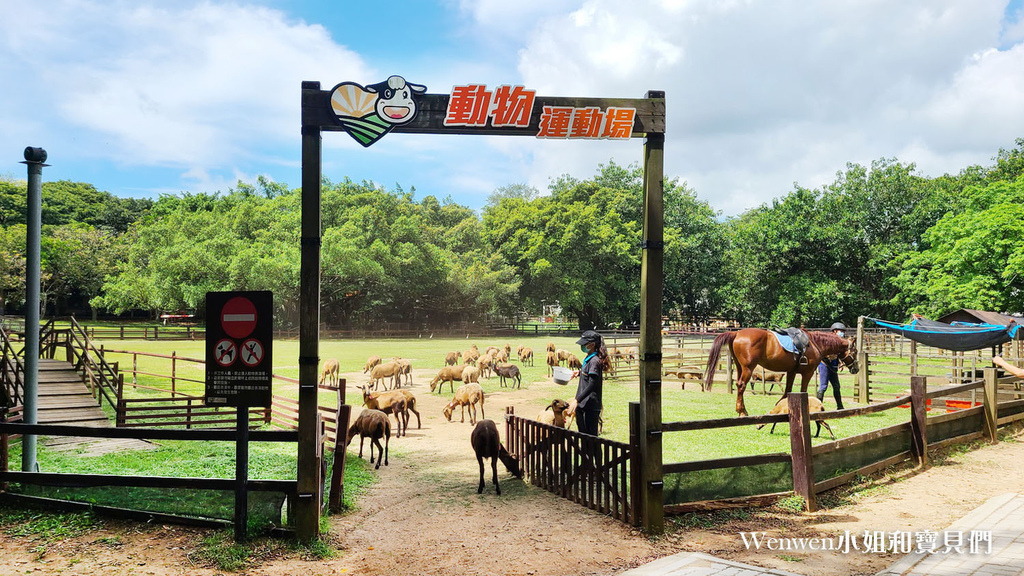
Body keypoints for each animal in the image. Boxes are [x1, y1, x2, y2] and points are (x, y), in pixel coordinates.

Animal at [704, 330, 856, 414]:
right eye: (855, 350)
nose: (856, 368)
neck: (814, 343)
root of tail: (736, 333)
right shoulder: (807, 373)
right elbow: (803, 390)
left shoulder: (792, 372)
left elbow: (787, 390)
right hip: (748, 368)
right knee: (741, 385)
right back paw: (742, 411)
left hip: (740, 367)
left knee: (738, 385)